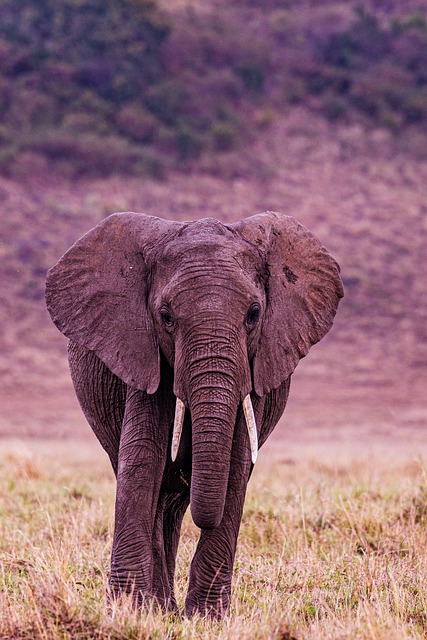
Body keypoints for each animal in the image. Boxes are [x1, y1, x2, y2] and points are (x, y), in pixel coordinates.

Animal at [45, 209, 344, 616]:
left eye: (254, 314)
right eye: (166, 317)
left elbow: (236, 465)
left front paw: (206, 617)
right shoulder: (142, 355)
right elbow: (142, 460)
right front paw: (128, 612)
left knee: (174, 504)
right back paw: (160, 607)